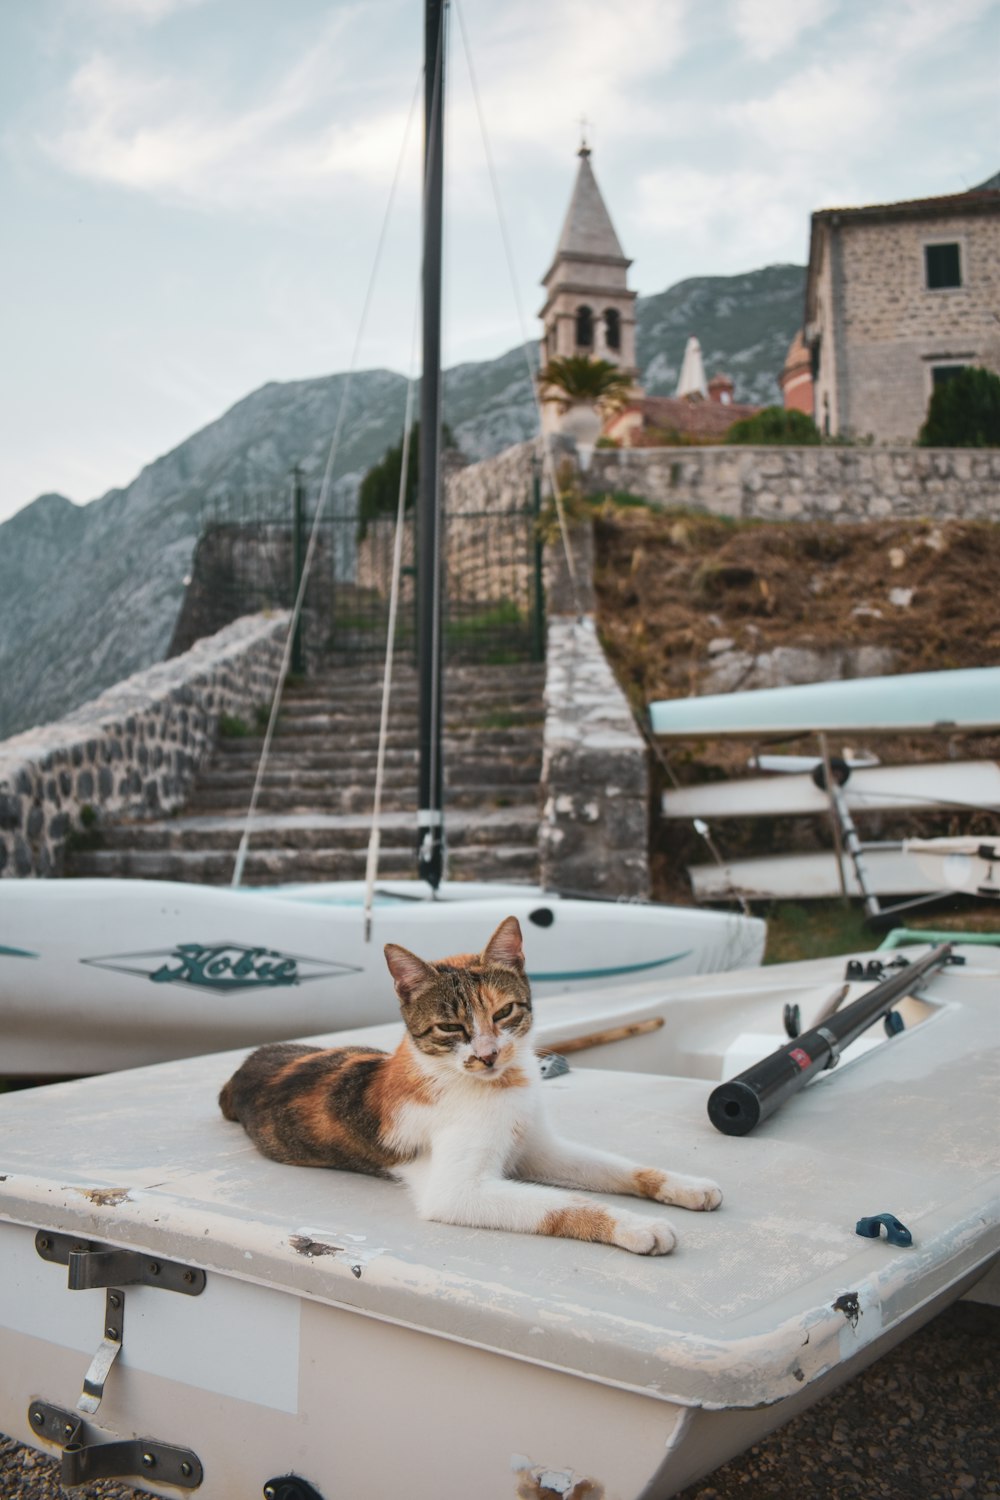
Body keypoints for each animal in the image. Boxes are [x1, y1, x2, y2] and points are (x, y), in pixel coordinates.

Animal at [217, 912, 719, 1254]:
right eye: (450, 1028)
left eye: (504, 1012)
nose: (488, 1054)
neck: (503, 1086)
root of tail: (247, 1063)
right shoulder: (457, 1192)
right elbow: (563, 1203)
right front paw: (635, 1226)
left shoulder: (540, 1148)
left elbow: (619, 1167)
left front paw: (687, 1186)